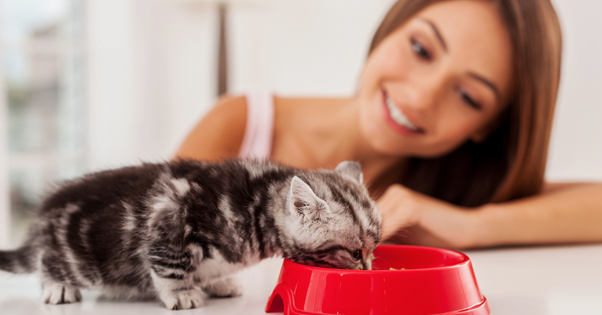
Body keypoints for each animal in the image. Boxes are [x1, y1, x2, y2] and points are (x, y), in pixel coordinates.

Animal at [0, 160, 380, 312]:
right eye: (354, 252)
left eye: (373, 248)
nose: (369, 271)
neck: (256, 203)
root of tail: (43, 218)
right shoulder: (168, 220)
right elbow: (169, 265)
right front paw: (181, 293)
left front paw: (217, 282)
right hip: (82, 260)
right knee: (47, 261)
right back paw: (57, 286)